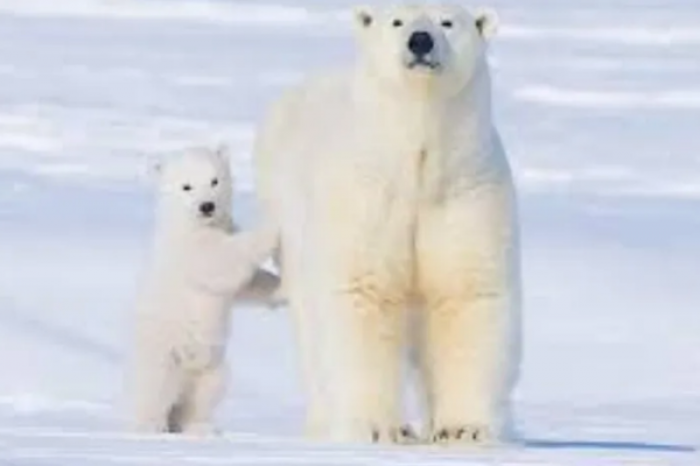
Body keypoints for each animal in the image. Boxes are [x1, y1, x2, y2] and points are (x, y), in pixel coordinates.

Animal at [254, 3, 524, 446]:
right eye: (398, 20)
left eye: (448, 22)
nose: (421, 41)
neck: (416, 169)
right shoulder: (366, 195)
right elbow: (362, 293)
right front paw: (377, 428)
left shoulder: (465, 192)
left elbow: (467, 293)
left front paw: (463, 429)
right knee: (311, 329)